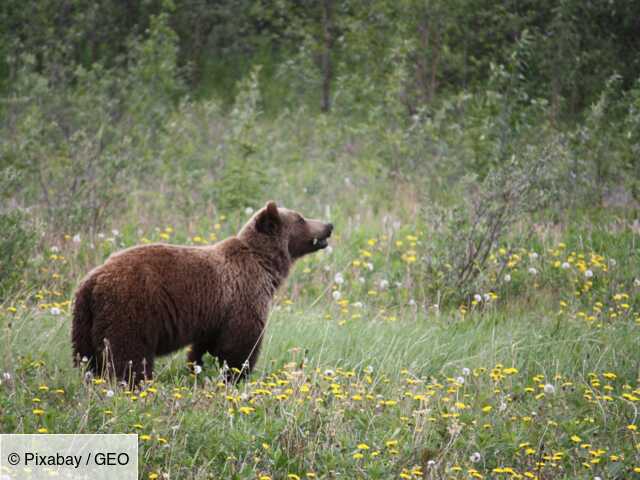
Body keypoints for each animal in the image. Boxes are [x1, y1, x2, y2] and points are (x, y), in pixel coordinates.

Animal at [72, 202, 332, 382]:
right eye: (301, 218)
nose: (328, 225)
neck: (264, 264)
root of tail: (94, 279)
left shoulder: (215, 314)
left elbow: (205, 347)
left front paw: (198, 369)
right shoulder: (243, 296)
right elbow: (240, 345)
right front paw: (236, 376)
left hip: (84, 320)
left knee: (86, 359)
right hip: (131, 308)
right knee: (128, 356)